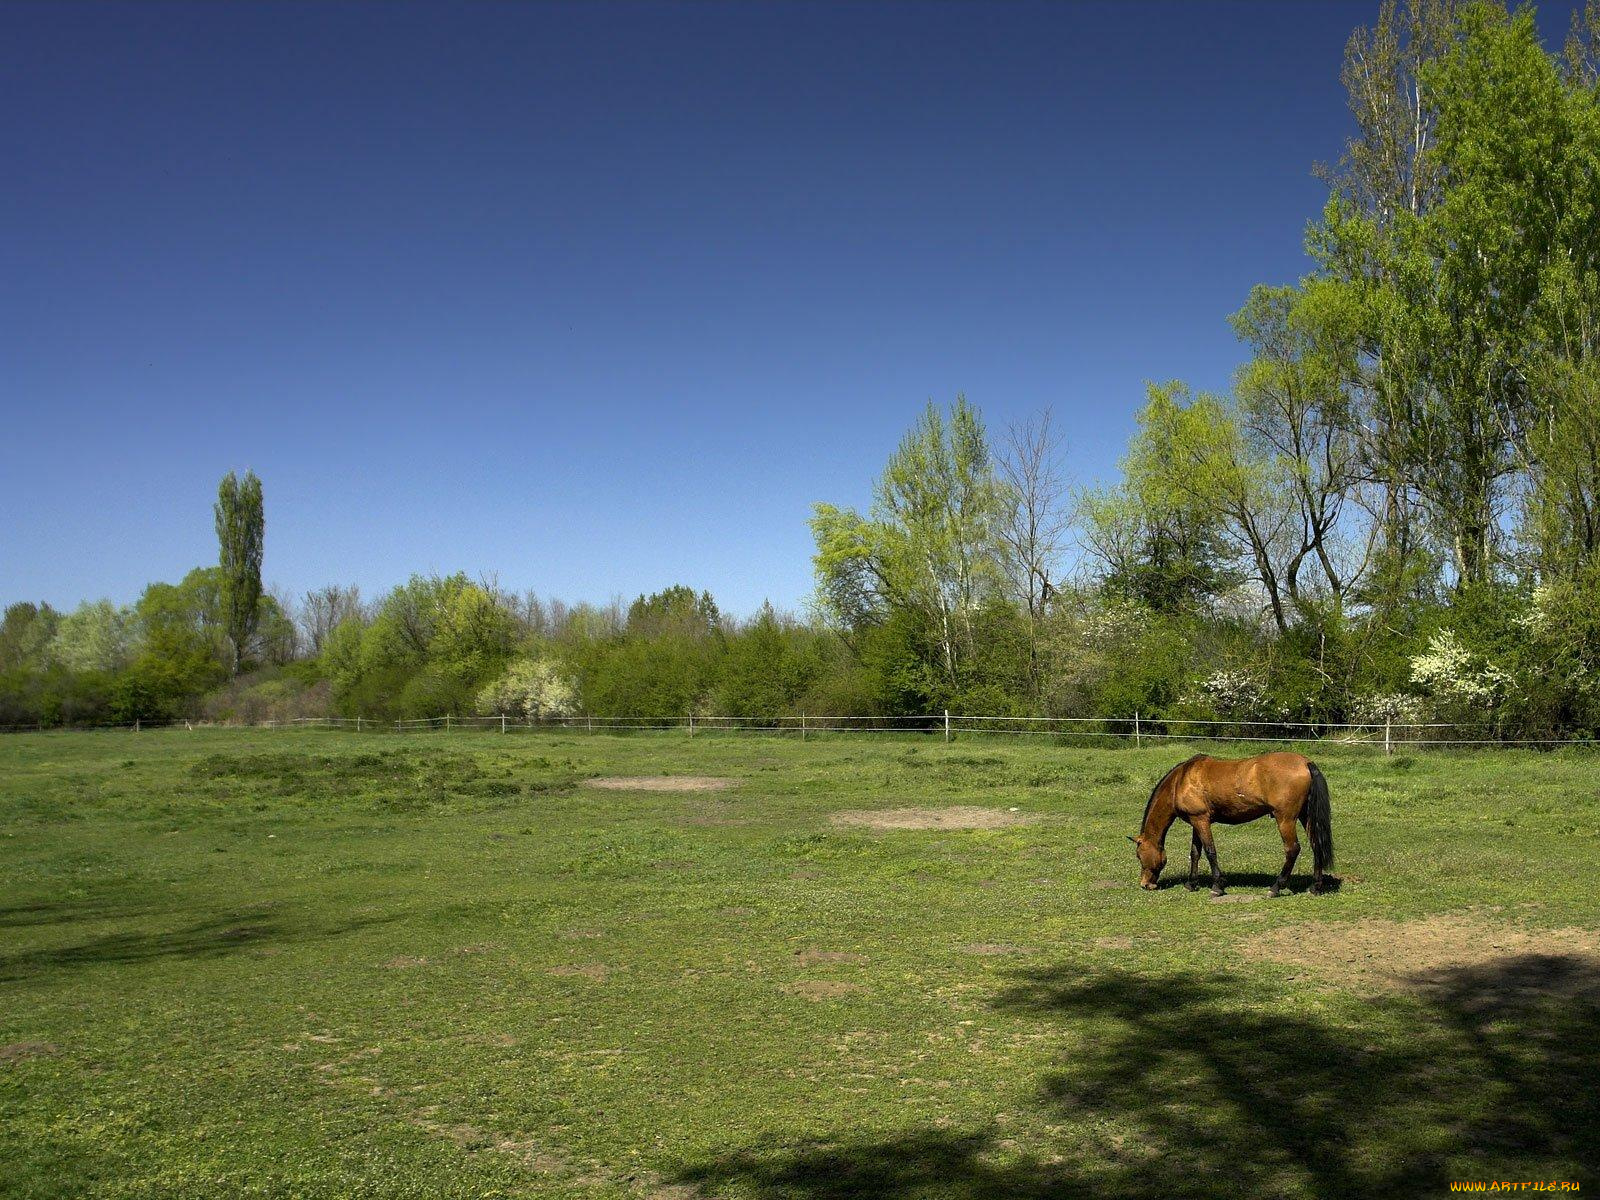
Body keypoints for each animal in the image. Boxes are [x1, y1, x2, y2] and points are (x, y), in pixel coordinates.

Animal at [1132, 755, 1331, 896]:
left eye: (1139, 856)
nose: (1145, 884)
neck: (1181, 780)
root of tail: (1305, 763)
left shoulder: (1201, 820)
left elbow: (1210, 852)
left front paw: (1217, 886)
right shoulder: (1196, 822)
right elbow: (1195, 853)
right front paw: (1191, 884)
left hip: (1285, 819)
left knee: (1292, 850)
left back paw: (1276, 887)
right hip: (1305, 817)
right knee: (1316, 845)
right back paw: (1315, 886)